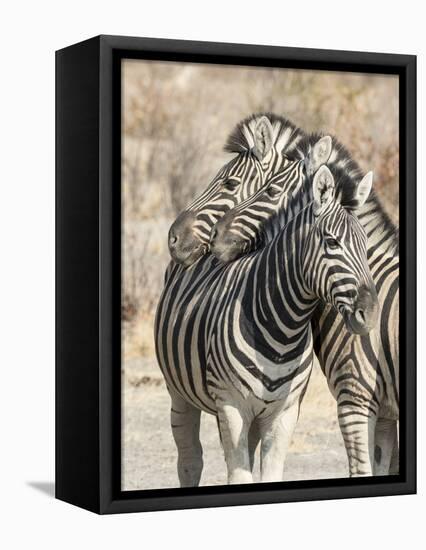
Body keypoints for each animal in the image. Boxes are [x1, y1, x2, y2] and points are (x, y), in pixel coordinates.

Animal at [155, 165, 378, 488]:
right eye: (332, 242)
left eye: (365, 246)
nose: (370, 313)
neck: (283, 328)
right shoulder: (232, 406)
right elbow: (238, 476)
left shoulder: (284, 413)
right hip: (180, 393)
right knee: (189, 460)